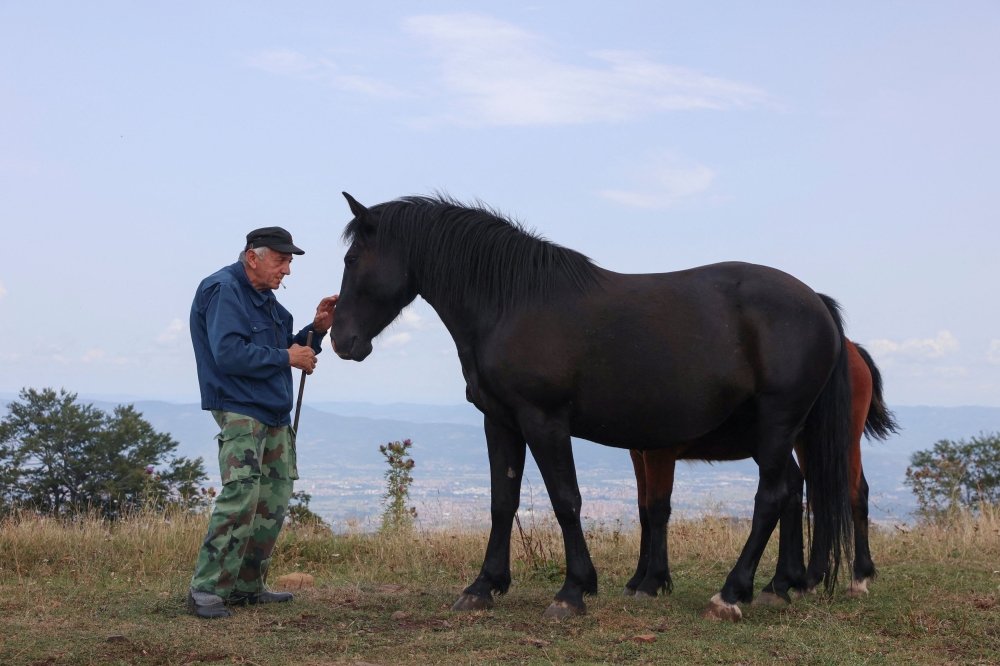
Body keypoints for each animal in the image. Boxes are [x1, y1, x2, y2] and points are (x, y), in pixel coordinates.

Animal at [331, 193, 856, 621]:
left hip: (776, 422)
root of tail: (816, 302)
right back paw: (774, 588)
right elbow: (503, 502)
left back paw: (730, 595)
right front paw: (483, 586)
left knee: (772, 495)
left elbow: (566, 500)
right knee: (789, 492)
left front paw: (573, 591)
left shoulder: (544, 421)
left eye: (353, 258)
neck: (511, 304)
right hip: (771, 431)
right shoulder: (500, 422)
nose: (340, 340)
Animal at [625, 339, 898, 604]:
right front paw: (637, 579)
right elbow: (643, 511)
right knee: (819, 498)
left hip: (837, 440)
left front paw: (651, 582)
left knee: (853, 494)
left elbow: (657, 510)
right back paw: (809, 579)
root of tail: (853, 350)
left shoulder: (661, 452)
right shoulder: (638, 453)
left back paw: (857, 578)